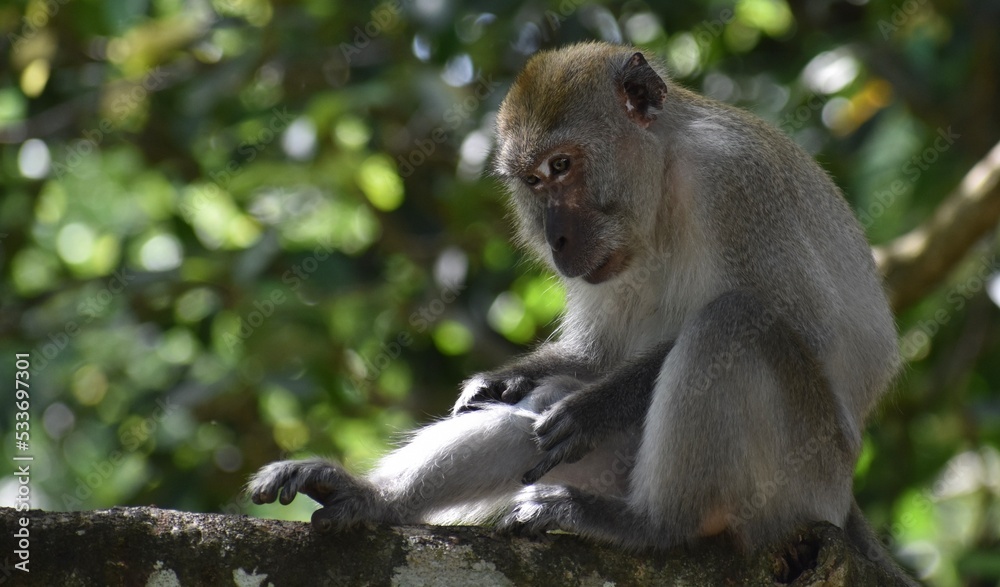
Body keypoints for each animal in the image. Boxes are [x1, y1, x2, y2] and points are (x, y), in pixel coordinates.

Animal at [248, 41, 916, 584]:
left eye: (563, 165)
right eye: (533, 182)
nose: (557, 240)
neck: (664, 185)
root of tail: (841, 503)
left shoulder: (738, 183)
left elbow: (807, 327)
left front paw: (596, 403)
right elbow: (593, 356)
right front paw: (506, 381)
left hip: (798, 483)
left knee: (733, 323)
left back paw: (651, 525)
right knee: (521, 431)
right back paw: (373, 497)